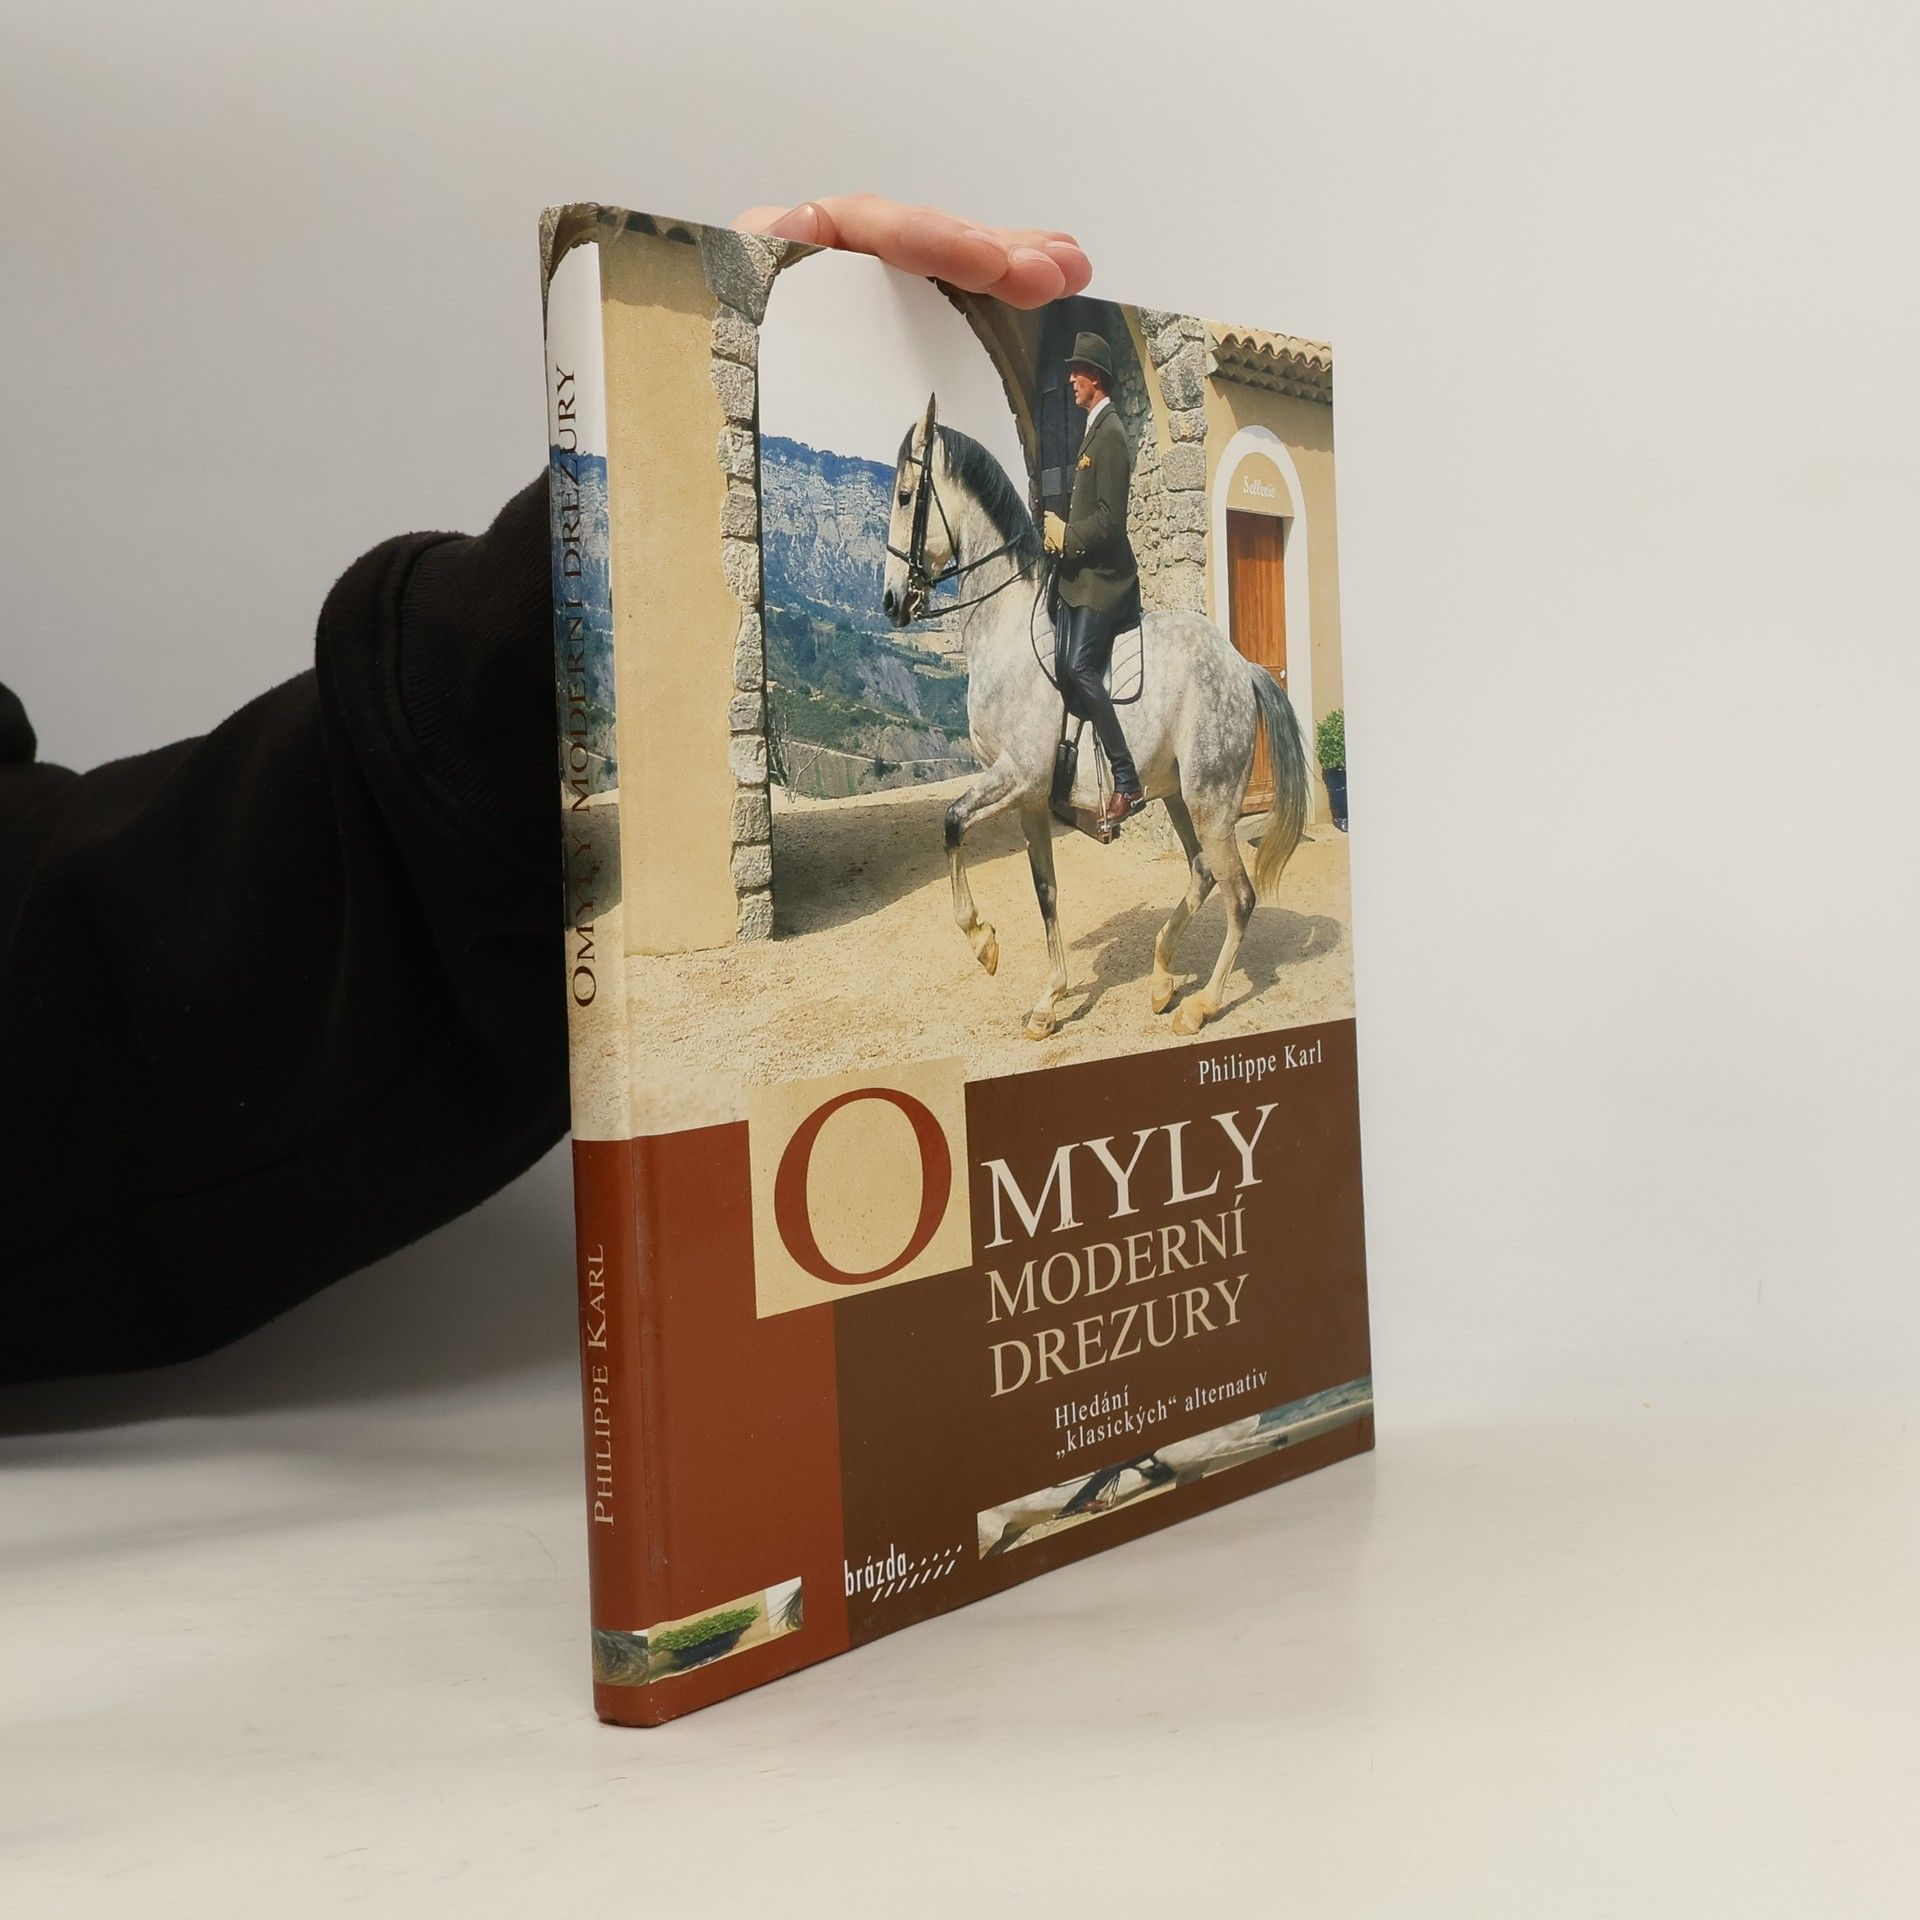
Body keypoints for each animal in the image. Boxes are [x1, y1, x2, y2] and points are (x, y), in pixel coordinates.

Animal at [880, 393, 1310, 1041]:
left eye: (907, 496)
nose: (890, 603)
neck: (1006, 626)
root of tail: (1241, 666)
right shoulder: (1031, 797)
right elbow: (1045, 890)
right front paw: (1048, 1000)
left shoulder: (1018, 775)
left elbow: (952, 822)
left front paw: (983, 942)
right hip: (1179, 795)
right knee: (1202, 874)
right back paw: (1160, 977)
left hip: (1210, 800)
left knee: (1239, 896)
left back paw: (1200, 1005)